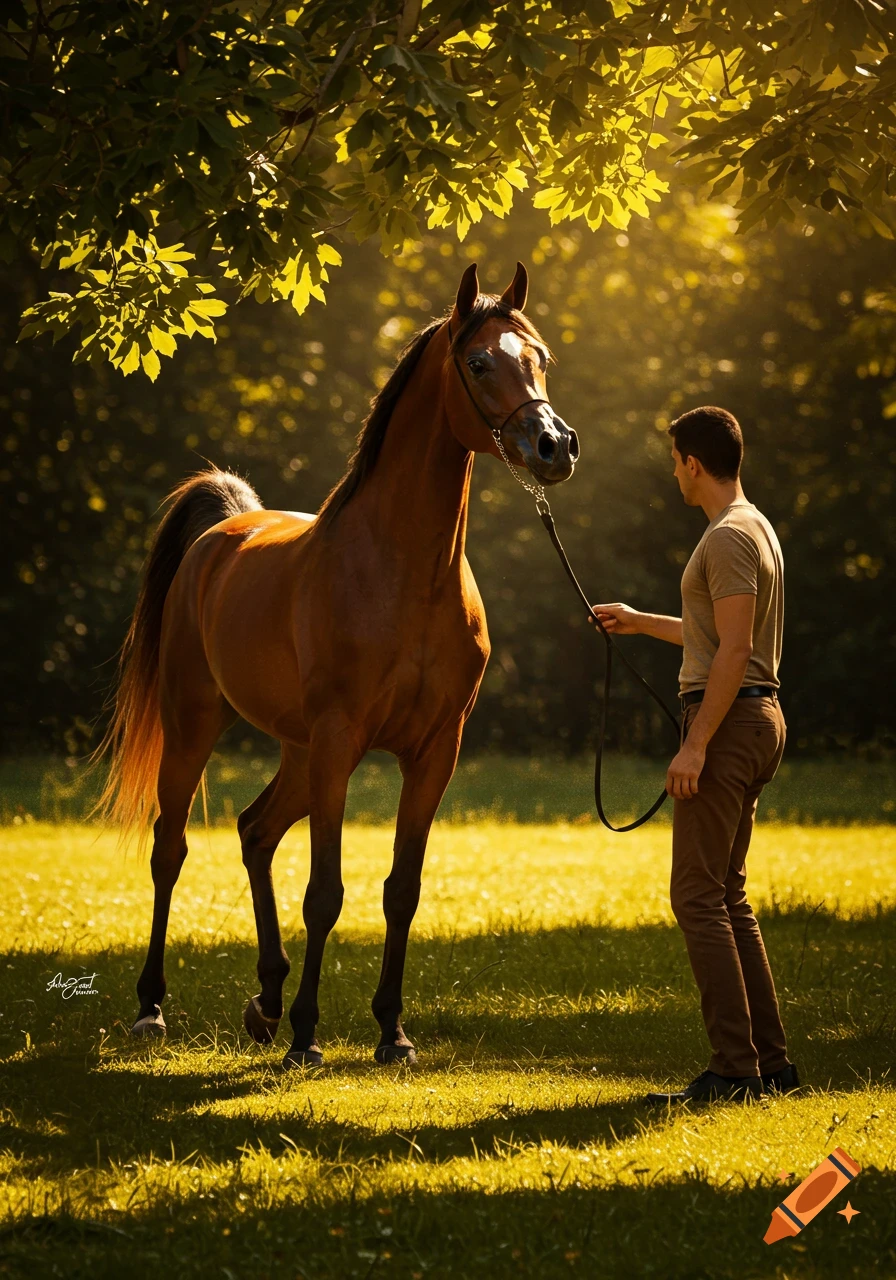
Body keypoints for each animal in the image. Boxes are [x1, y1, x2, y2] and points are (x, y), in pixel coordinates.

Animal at [95, 261, 578, 1067]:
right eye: (480, 362)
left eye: (539, 357)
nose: (554, 446)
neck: (404, 573)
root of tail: (225, 529)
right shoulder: (340, 742)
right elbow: (325, 893)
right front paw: (308, 1037)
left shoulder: (433, 752)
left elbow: (400, 890)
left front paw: (392, 1032)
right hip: (202, 728)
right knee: (171, 849)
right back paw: (154, 1008)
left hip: (297, 753)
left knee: (255, 832)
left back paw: (264, 1000)